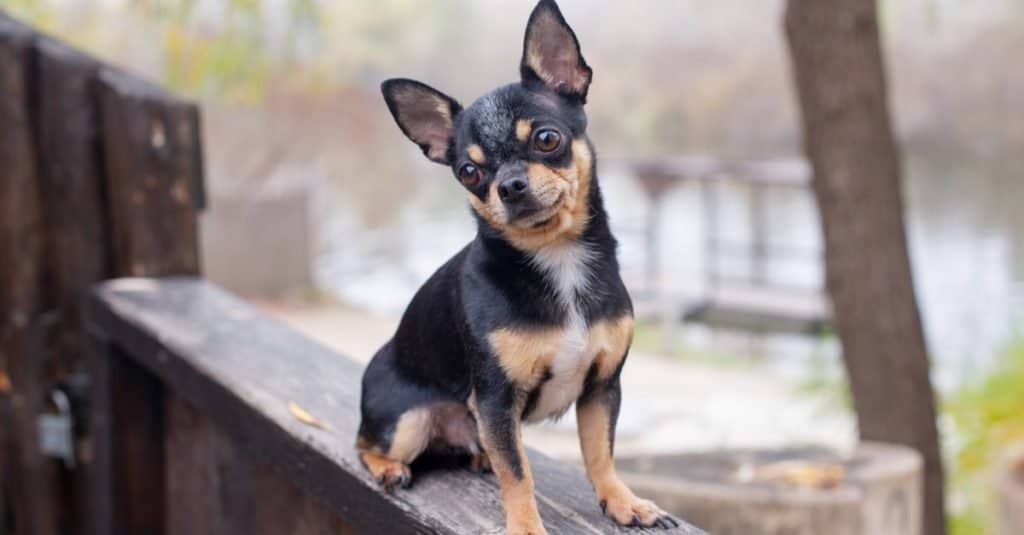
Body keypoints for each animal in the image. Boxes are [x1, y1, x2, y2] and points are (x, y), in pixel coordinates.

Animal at [360, 2, 679, 528]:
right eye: (469, 173)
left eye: (547, 140)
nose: (508, 185)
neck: (557, 258)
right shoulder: (495, 400)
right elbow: (518, 473)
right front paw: (527, 527)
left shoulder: (602, 389)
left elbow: (600, 453)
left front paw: (623, 501)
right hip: (408, 420)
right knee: (366, 442)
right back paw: (389, 468)